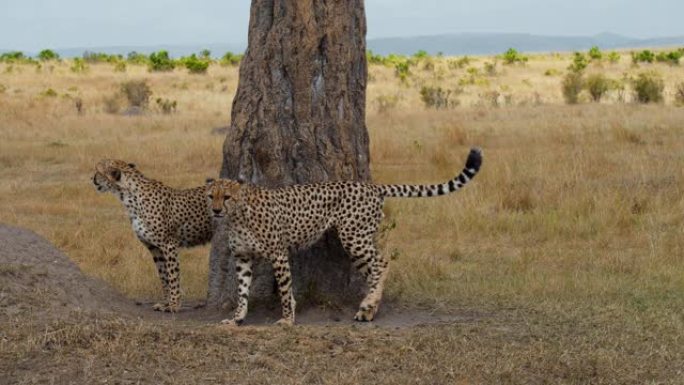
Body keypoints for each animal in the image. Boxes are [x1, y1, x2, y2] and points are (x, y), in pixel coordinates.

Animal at [91, 159, 214, 312]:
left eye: (99, 172)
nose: (92, 179)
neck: (129, 197)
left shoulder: (169, 244)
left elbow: (173, 276)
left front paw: (174, 305)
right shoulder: (154, 248)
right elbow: (163, 275)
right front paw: (166, 302)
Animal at [208, 147, 480, 324]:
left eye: (227, 197)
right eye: (212, 196)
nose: (216, 211)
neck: (238, 215)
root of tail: (371, 185)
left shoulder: (278, 253)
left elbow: (285, 289)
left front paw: (287, 319)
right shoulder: (242, 257)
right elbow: (242, 290)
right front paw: (237, 318)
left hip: (354, 237)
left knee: (382, 262)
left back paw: (368, 304)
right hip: (357, 240)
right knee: (374, 272)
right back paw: (368, 309)